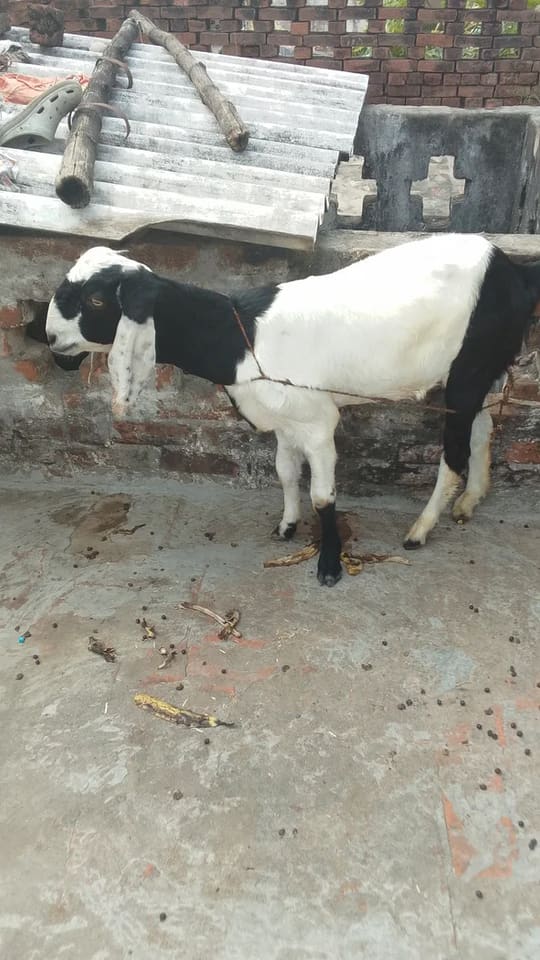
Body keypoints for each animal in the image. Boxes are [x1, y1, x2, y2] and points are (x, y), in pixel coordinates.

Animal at [46, 235, 539, 586]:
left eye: (95, 300)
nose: (50, 338)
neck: (241, 338)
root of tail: (513, 271)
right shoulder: (286, 421)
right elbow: (285, 473)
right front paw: (286, 526)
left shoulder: (318, 423)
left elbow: (323, 495)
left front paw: (329, 564)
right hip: (482, 370)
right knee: (484, 427)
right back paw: (471, 500)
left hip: (469, 369)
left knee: (453, 454)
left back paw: (420, 529)